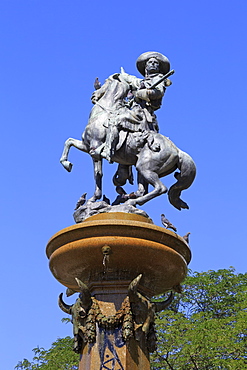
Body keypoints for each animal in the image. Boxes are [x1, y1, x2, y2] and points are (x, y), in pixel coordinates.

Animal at [59, 73, 195, 210]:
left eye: (104, 83)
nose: (93, 95)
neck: (103, 113)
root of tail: (178, 151)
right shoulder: (86, 146)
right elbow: (69, 141)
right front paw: (66, 163)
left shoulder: (94, 149)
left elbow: (98, 174)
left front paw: (93, 198)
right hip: (143, 170)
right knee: (143, 190)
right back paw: (131, 200)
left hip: (145, 168)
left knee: (160, 188)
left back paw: (132, 201)